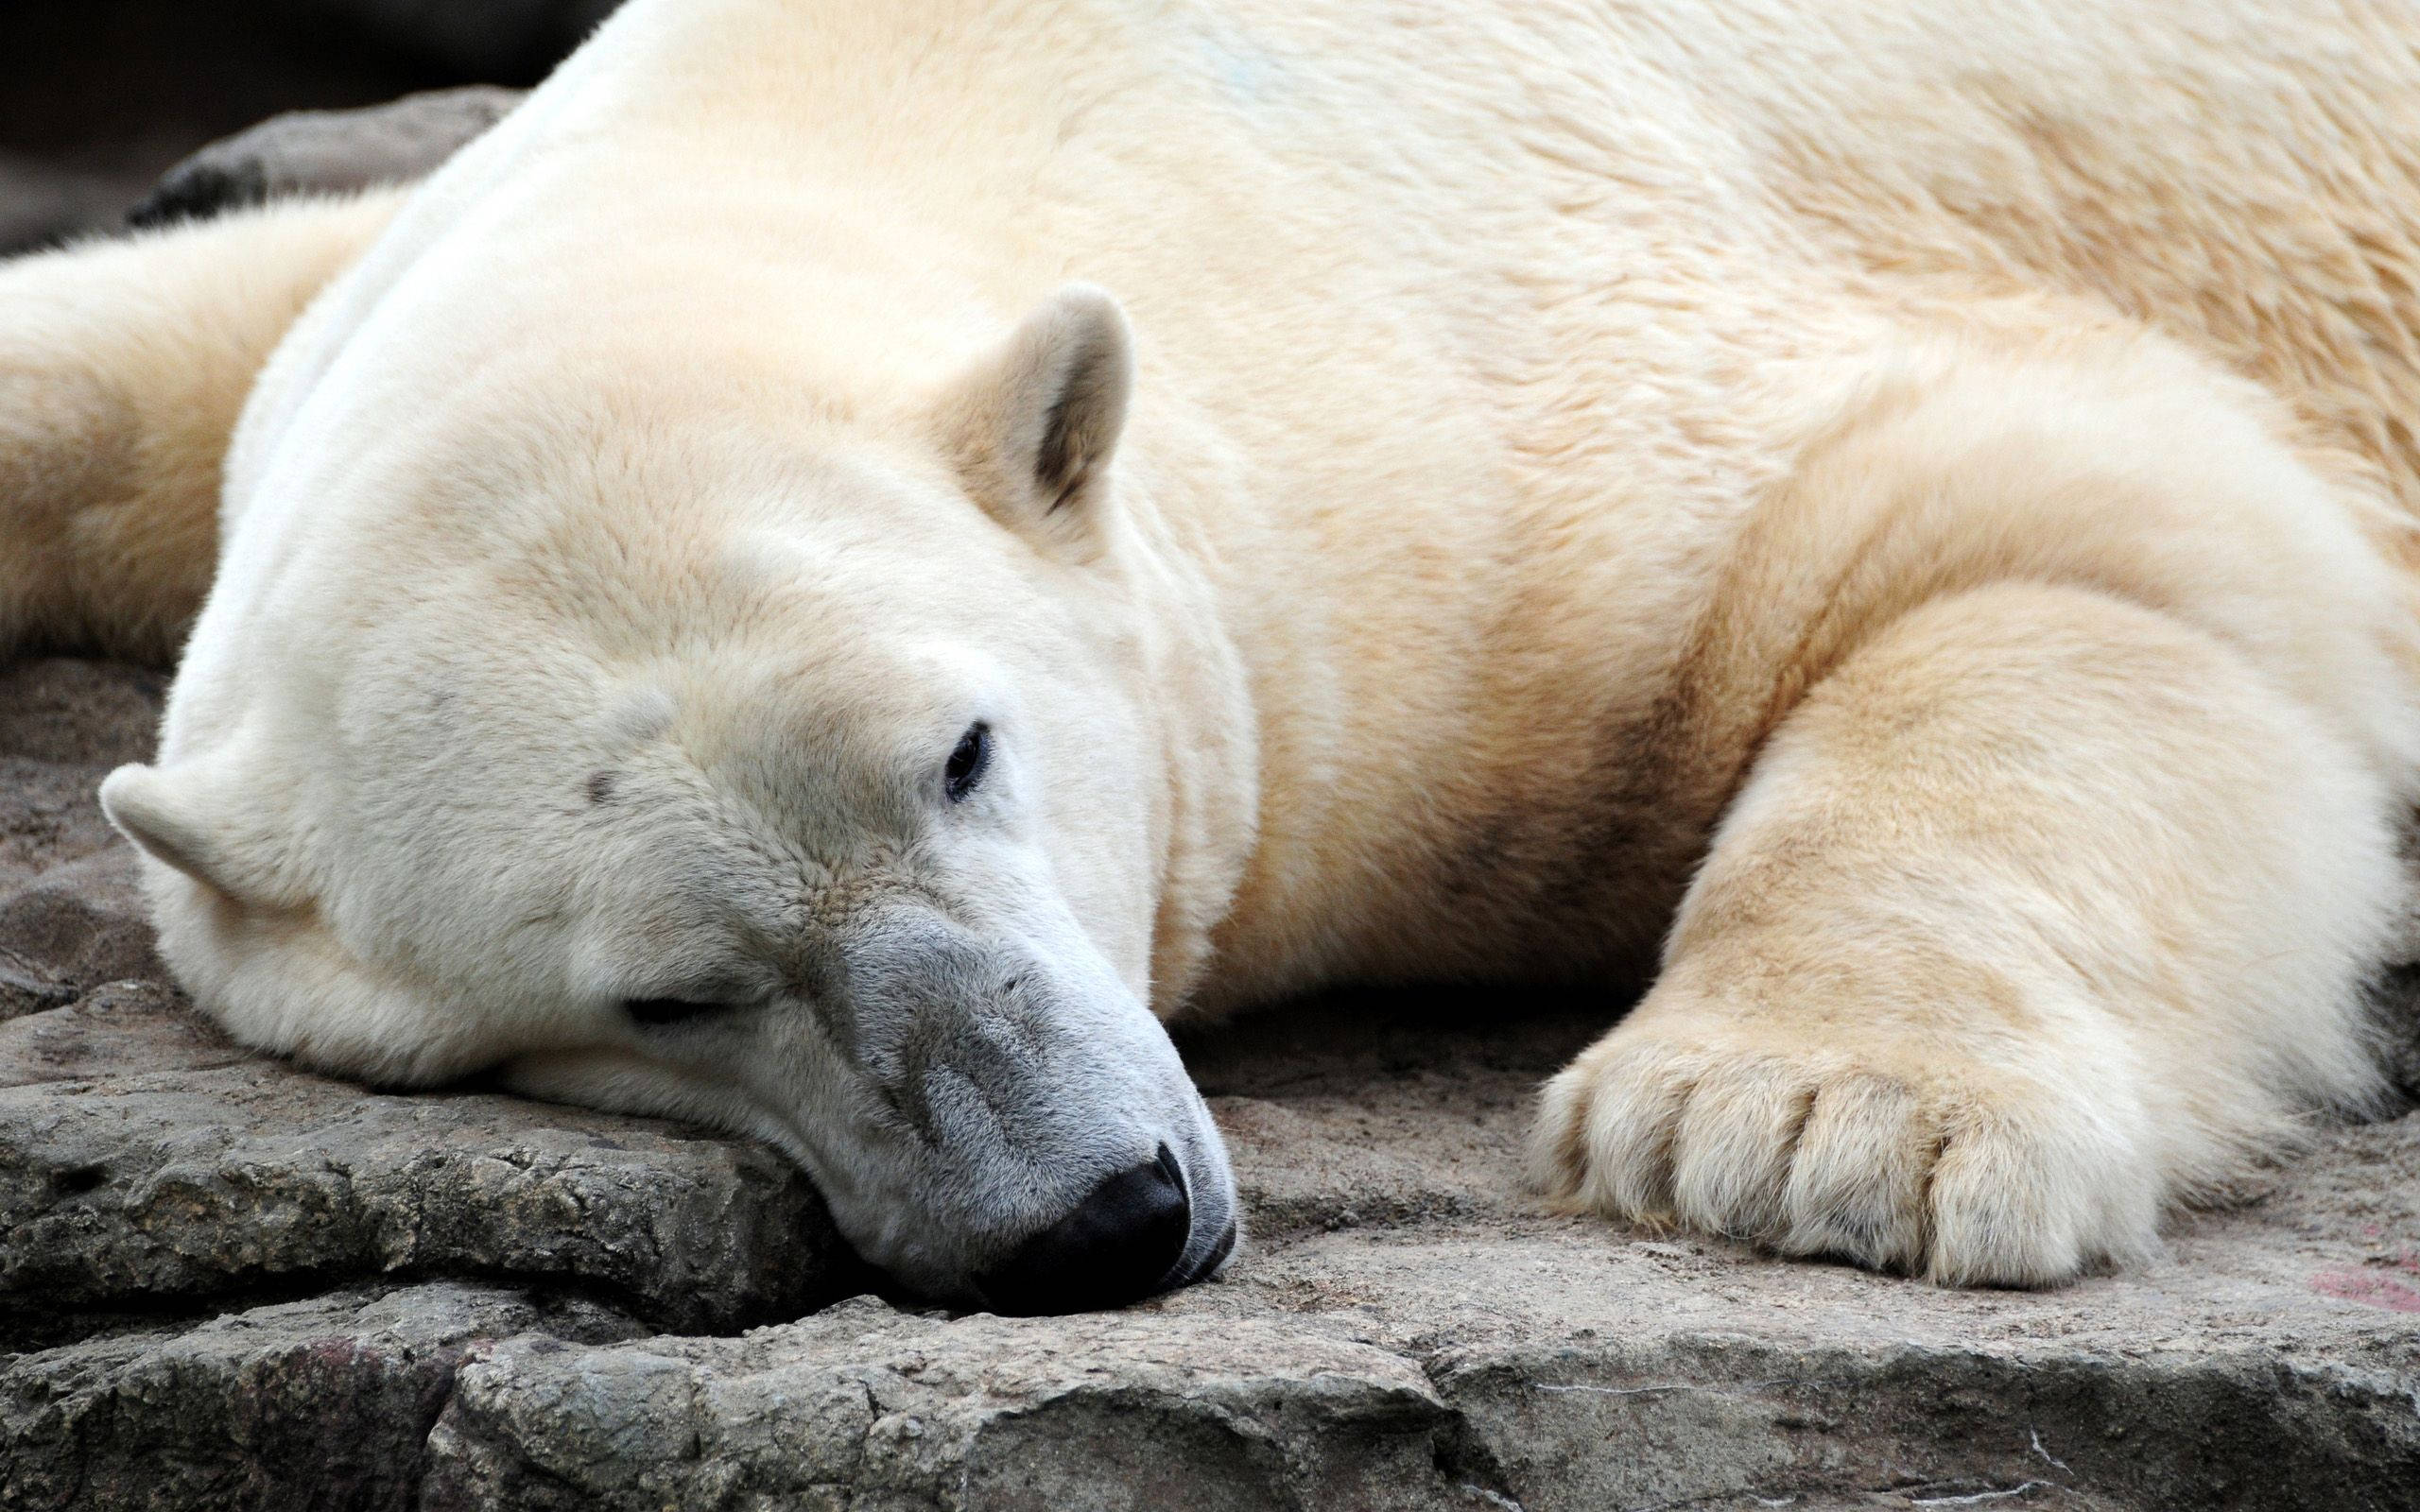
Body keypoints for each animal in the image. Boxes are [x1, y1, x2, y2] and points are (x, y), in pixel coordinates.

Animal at [4, 0, 2419, 1312]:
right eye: (662, 999)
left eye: (964, 752)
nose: (1096, 1207)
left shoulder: (1484, 446)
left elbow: (2071, 527)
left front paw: (1805, 1122)